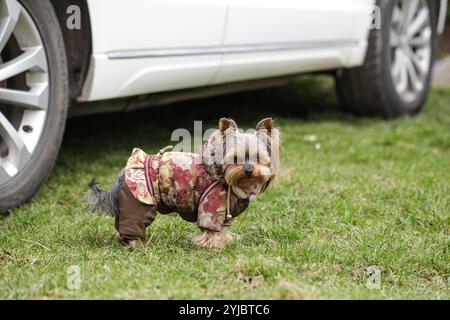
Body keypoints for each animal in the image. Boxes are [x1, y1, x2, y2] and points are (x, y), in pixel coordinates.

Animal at [84, 118, 280, 250]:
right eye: (235, 159)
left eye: (257, 158)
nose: (248, 170)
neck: (225, 177)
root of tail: (122, 173)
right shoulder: (211, 205)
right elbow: (210, 229)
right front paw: (213, 245)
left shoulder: (222, 211)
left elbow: (222, 228)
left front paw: (226, 239)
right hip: (139, 203)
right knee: (132, 225)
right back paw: (136, 244)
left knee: (120, 224)